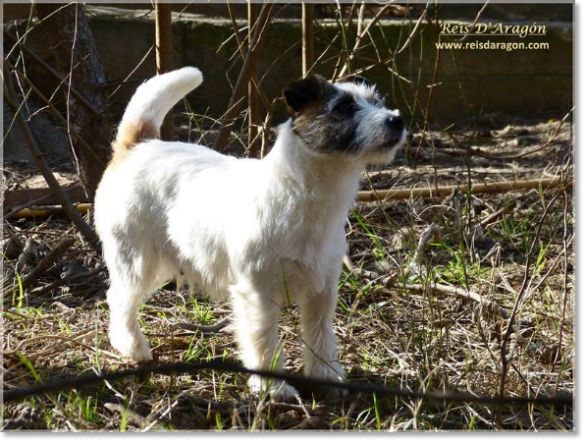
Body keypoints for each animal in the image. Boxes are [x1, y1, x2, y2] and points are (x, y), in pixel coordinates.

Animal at [96, 67, 406, 402]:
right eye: (344, 107)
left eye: (377, 101)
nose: (396, 120)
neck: (303, 196)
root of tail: (138, 146)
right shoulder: (258, 296)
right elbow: (264, 340)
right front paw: (273, 387)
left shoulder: (322, 291)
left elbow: (321, 336)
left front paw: (325, 375)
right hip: (138, 262)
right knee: (119, 299)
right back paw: (133, 348)